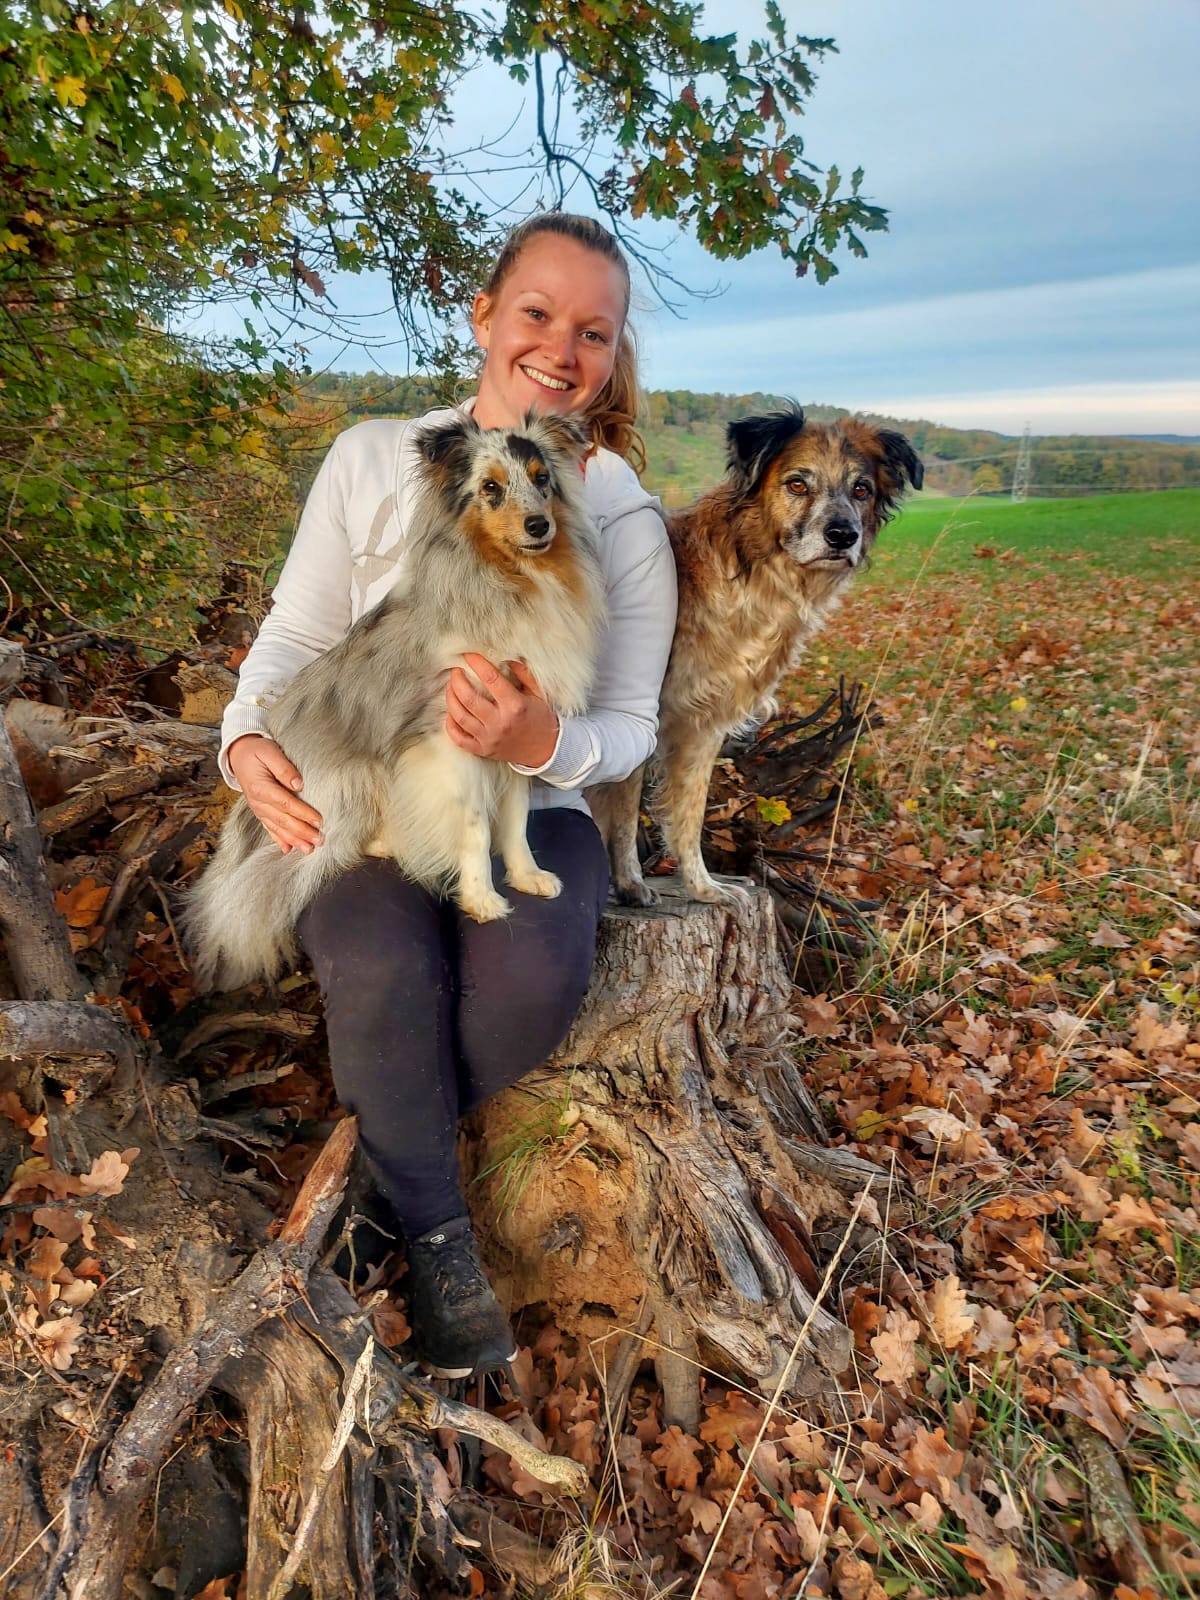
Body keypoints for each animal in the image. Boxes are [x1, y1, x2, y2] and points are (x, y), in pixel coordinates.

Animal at [187, 412, 604, 985]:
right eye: (490, 488)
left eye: (543, 479)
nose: (539, 525)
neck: (509, 579)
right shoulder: (451, 741)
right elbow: (476, 828)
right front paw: (482, 899)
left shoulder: (517, 730)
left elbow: (516, 817)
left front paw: (527, 876)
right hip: (351, 782)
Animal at [588, 406, 928, 908]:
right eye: (797, 484)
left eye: (861, 489)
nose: (842, 536)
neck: (755, 574)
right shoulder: (639, 712)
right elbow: (625, 813)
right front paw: (631, 882)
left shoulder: (703, 722)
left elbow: (688, 812)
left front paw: (702, 886)